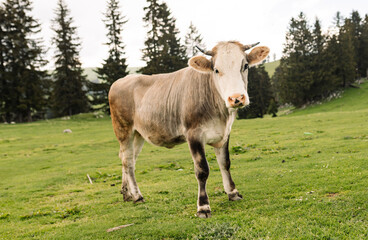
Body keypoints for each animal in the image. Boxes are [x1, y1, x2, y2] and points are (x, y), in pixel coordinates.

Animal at [108, 40, 268, 218]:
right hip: (123, 130)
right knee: (128, 161)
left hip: (138, 134)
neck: (221, 113)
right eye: (216, 69)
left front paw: (233, 193)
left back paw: (127, 194)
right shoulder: (194, 135)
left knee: (128, 159)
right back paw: (137, 196)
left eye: (245, 65)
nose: (236, 98)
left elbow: (225, 163)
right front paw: (203, 207)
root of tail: (120, 81)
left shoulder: (224, 134)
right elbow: (202, 170)